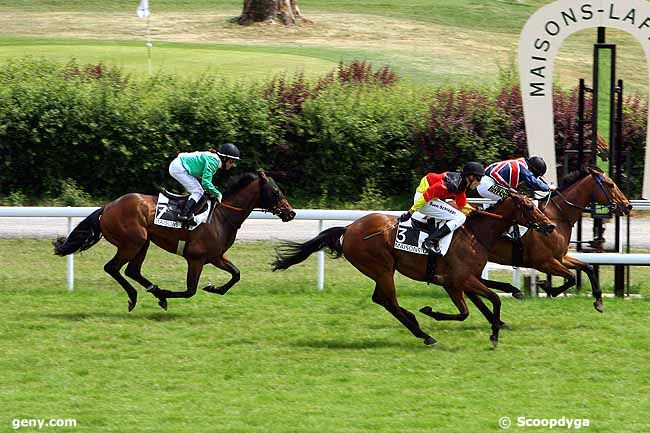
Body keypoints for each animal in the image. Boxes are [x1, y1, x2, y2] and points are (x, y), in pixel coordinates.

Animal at [54, 170, 294, 310]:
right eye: (276, 191)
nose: (291, 213)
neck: (222, 216)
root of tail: (107, 207)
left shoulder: (216, 256)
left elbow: (236, 274)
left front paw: (214, 288)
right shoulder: (196, 258)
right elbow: (190, 291)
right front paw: (167, 294)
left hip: (142, 243)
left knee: (132, 271)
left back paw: (151, 292)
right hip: (132, 242)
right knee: (112, 267)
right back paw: (136, 296)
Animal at [272, 194, 552, 346]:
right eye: (529, 207)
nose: (549, 226)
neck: (475, 235)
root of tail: (349, 228)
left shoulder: (465, 279)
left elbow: (493, 296)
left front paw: (502, 315)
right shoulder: (455, 281)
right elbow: (471, 308)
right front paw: (432, 312)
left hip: (381, 270)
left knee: (382, 299)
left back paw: (416, 325)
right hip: (382, 269)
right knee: (389, 301)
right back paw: (423, 332)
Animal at [480, 165, 628, 310]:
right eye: (610, 184)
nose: (627, 205)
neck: (557, 217)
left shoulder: (560, 257)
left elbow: (588, 267)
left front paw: (598, 301)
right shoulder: (543, 262)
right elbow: (572, 277)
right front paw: (548, 287)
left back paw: (513, 290)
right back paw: (514, 290)